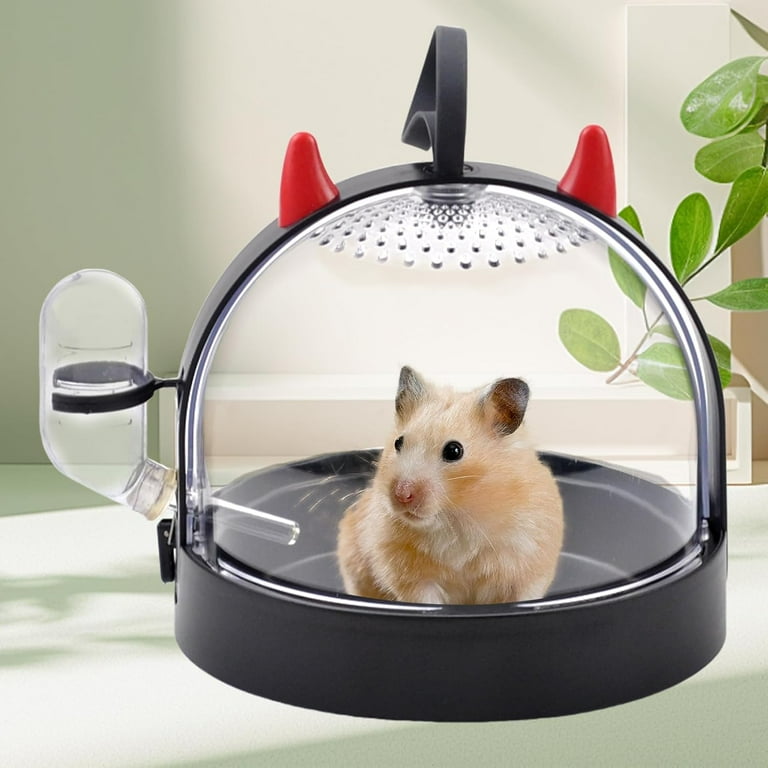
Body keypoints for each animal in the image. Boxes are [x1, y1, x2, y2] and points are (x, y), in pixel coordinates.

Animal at [337, 366, 563, 605]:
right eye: (398, 442)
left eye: (454, 451)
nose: (401, 495)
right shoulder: (410, 575)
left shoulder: (527, 564)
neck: (455, 516)